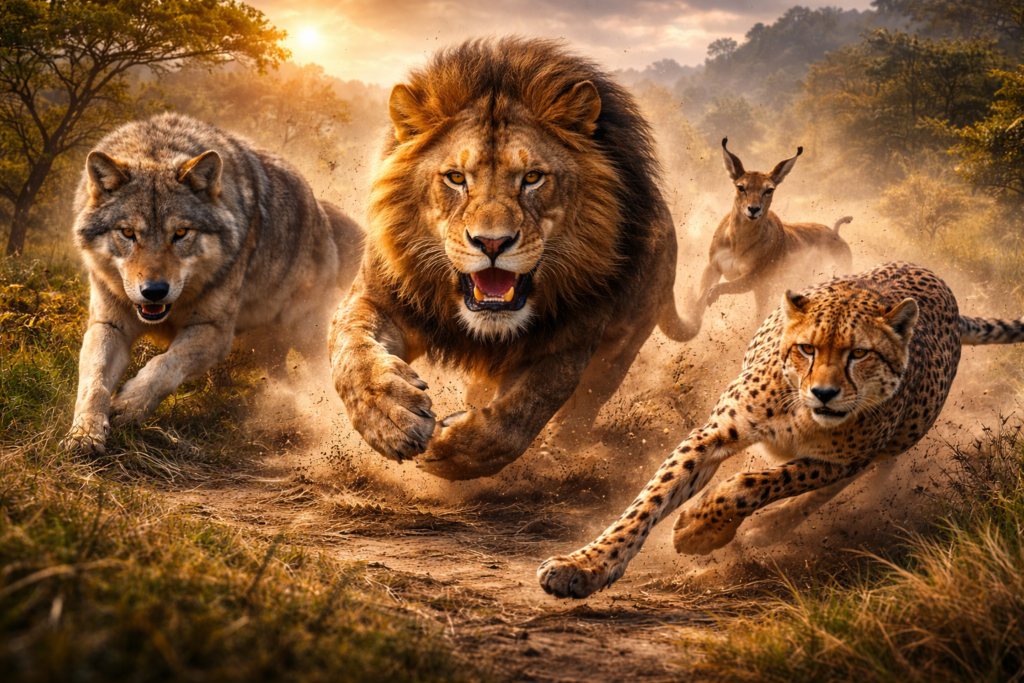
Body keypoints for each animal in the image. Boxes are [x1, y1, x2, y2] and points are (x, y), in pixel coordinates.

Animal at [64, 113, 362, 454]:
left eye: (180, 233)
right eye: (128, 233)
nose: (154, 291)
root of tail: (320, 209)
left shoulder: (215, 332)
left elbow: (164, 365)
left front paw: (129, 404)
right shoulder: (107, 325)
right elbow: (94, 380)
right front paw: (85, 432)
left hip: (305, 334)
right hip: (266, 347)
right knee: (282, 378)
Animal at [328, 37, 699, 481]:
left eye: (532, 178)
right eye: (456, 178)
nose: (492, 243)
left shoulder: (571, 340)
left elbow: (526, 410)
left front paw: (454, 453)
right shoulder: (377, 298)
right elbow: (353, 351)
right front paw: (390, 416)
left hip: (622, 345)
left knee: (581, 409)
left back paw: (560, 455)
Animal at [539, 261, 1024, 598]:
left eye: (859, 354)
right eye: (807, 349)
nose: (825, 393)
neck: (801, 411)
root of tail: (939, 282)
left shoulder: (836, 459)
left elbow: (756, 483)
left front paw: (700, 528)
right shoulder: (714, 433)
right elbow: (648, 502)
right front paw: (586, 565)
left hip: (892, 441)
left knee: (840, 481)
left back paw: (768, 528)